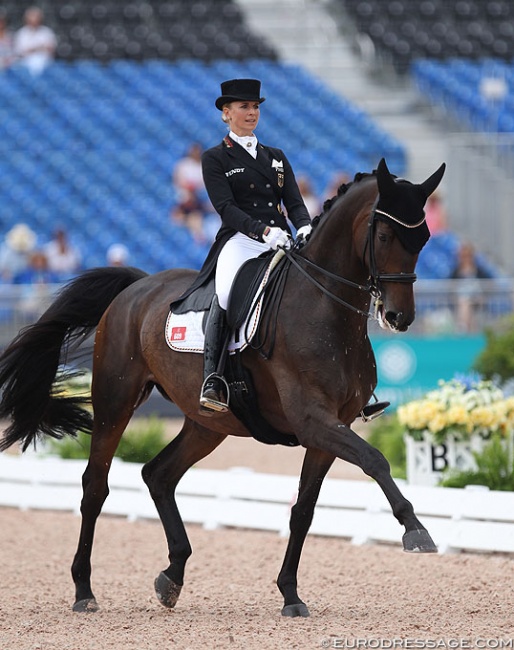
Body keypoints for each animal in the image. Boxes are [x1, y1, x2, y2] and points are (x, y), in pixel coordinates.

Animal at [0, 159, 442, 616]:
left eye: (423, 238)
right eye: (385, 236)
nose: (400, 317)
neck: (325, 310)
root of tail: (136, 287)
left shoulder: (332, 428)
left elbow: (303, 509)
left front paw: (290, 594)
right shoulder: (313, 420)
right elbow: (375, 460)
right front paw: (416, 530)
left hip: (207, 424)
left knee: (158, 475)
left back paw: (172, 577)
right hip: (115, 403)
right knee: (95, 487)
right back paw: (84, 590)